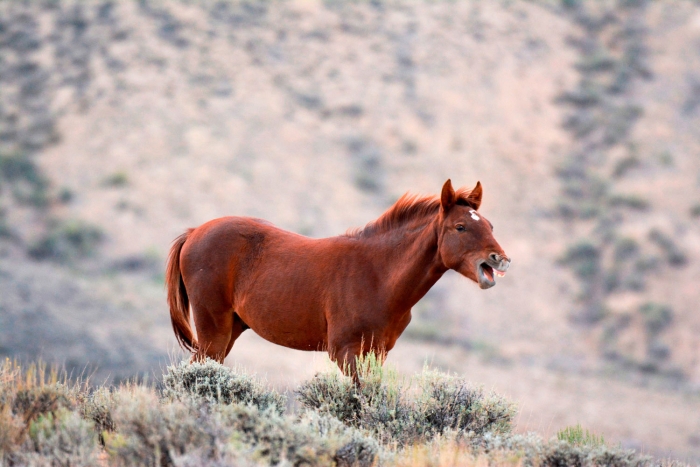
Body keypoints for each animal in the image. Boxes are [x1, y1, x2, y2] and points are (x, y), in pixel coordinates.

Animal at [167, 179, 512, 376]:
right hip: (213, 331)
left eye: (490, 225)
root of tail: (194, 232)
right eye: (460, 227)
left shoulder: (377, 353)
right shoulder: (346, 352)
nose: (500, 259)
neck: (378, 274)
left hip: (231, 330)